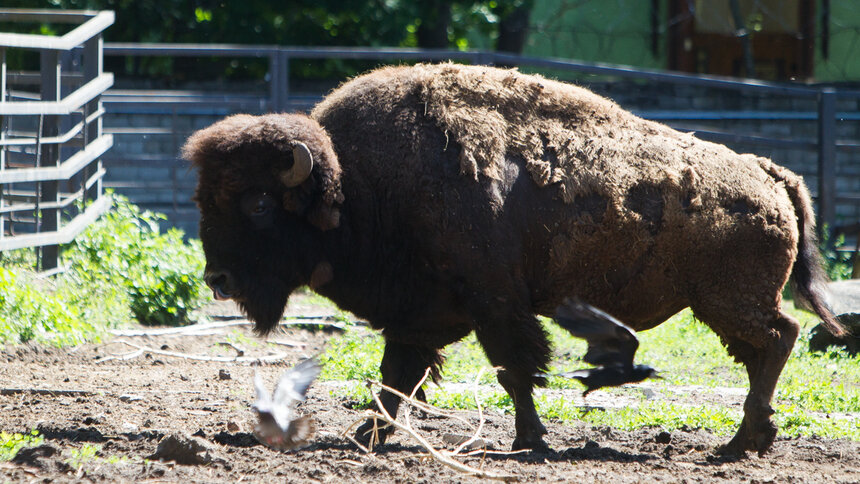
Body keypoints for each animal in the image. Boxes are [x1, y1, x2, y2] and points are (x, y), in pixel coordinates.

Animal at [183, 62, 848, 456]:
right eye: (203, 198)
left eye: (259, 202)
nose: (218, 278)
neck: (354, 185)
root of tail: (768, 172)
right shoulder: (420, 316)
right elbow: (397, 376)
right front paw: (367, 434)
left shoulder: (496, 305)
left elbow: (513, 369)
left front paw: (530, 440)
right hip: (725, 303)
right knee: (768, 346)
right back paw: (749, 439)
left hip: (728, 301)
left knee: (777, 338)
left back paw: (743, 441)